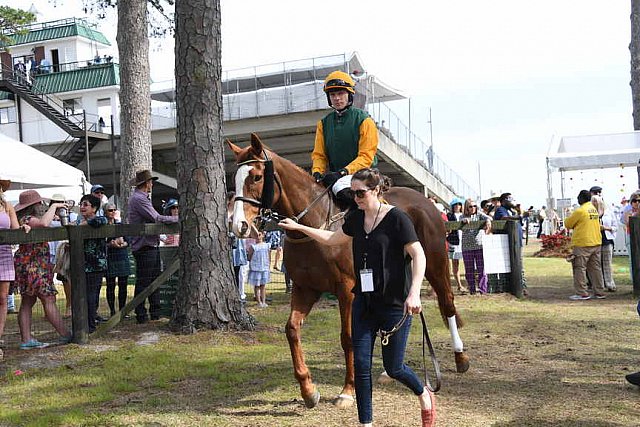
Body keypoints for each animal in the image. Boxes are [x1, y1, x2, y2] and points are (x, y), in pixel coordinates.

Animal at [228, 135, 468, 412]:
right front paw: (308, 390)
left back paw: (460, 357)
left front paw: (347, 390)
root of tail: (424, 201)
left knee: (447, 303)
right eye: (234, 179)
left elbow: (348, 337)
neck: (315, 225)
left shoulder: (347, 290)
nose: (238, 225)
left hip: (435, 264)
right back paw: (388, 370)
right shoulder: (304, 288)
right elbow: (291, 330)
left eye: (256, 176)